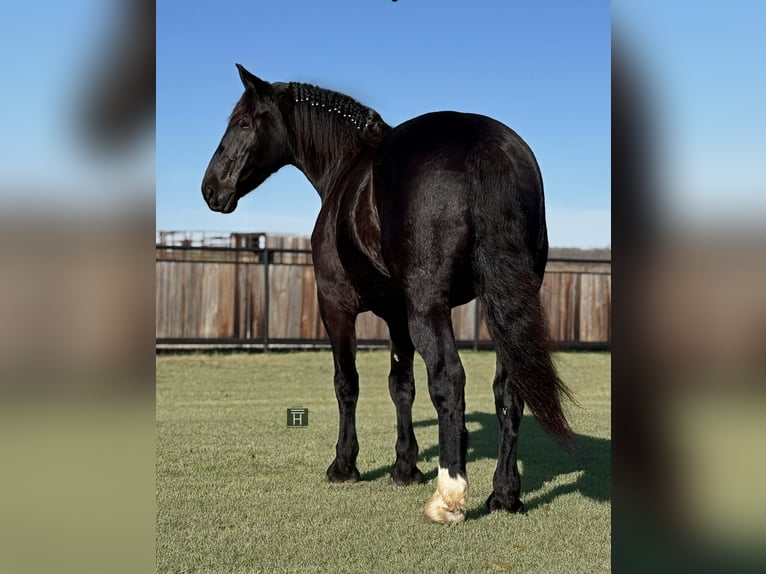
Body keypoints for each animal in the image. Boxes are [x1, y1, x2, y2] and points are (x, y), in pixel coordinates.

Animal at [202, 64, 574, 524]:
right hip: (504, 306)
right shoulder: (398, 317)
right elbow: (402, 387)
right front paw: (405, 467)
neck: (347, 169)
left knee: (449, 379)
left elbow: (347, 383)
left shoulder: (336, 306)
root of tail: (484, 144)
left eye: (242, 122)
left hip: (428, 307)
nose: (211, 188)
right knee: (508, 390)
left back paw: (449, 497)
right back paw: (504, 495)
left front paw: (344, 465)